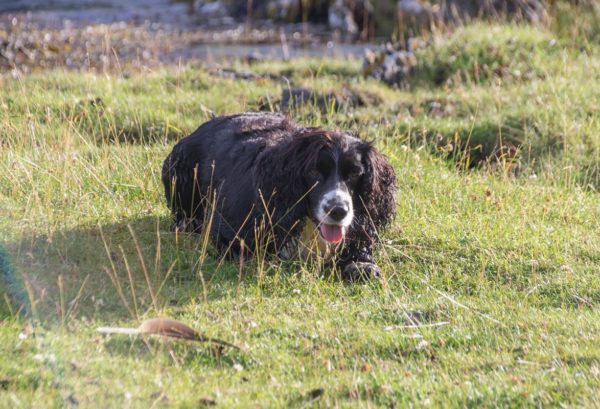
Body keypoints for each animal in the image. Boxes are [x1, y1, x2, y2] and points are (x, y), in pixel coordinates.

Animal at [162, 111, 396, 280]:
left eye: (355, 173)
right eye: (314, 172)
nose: (338, 211)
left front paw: (361, 265)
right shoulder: (229, 231)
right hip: (180, 170)